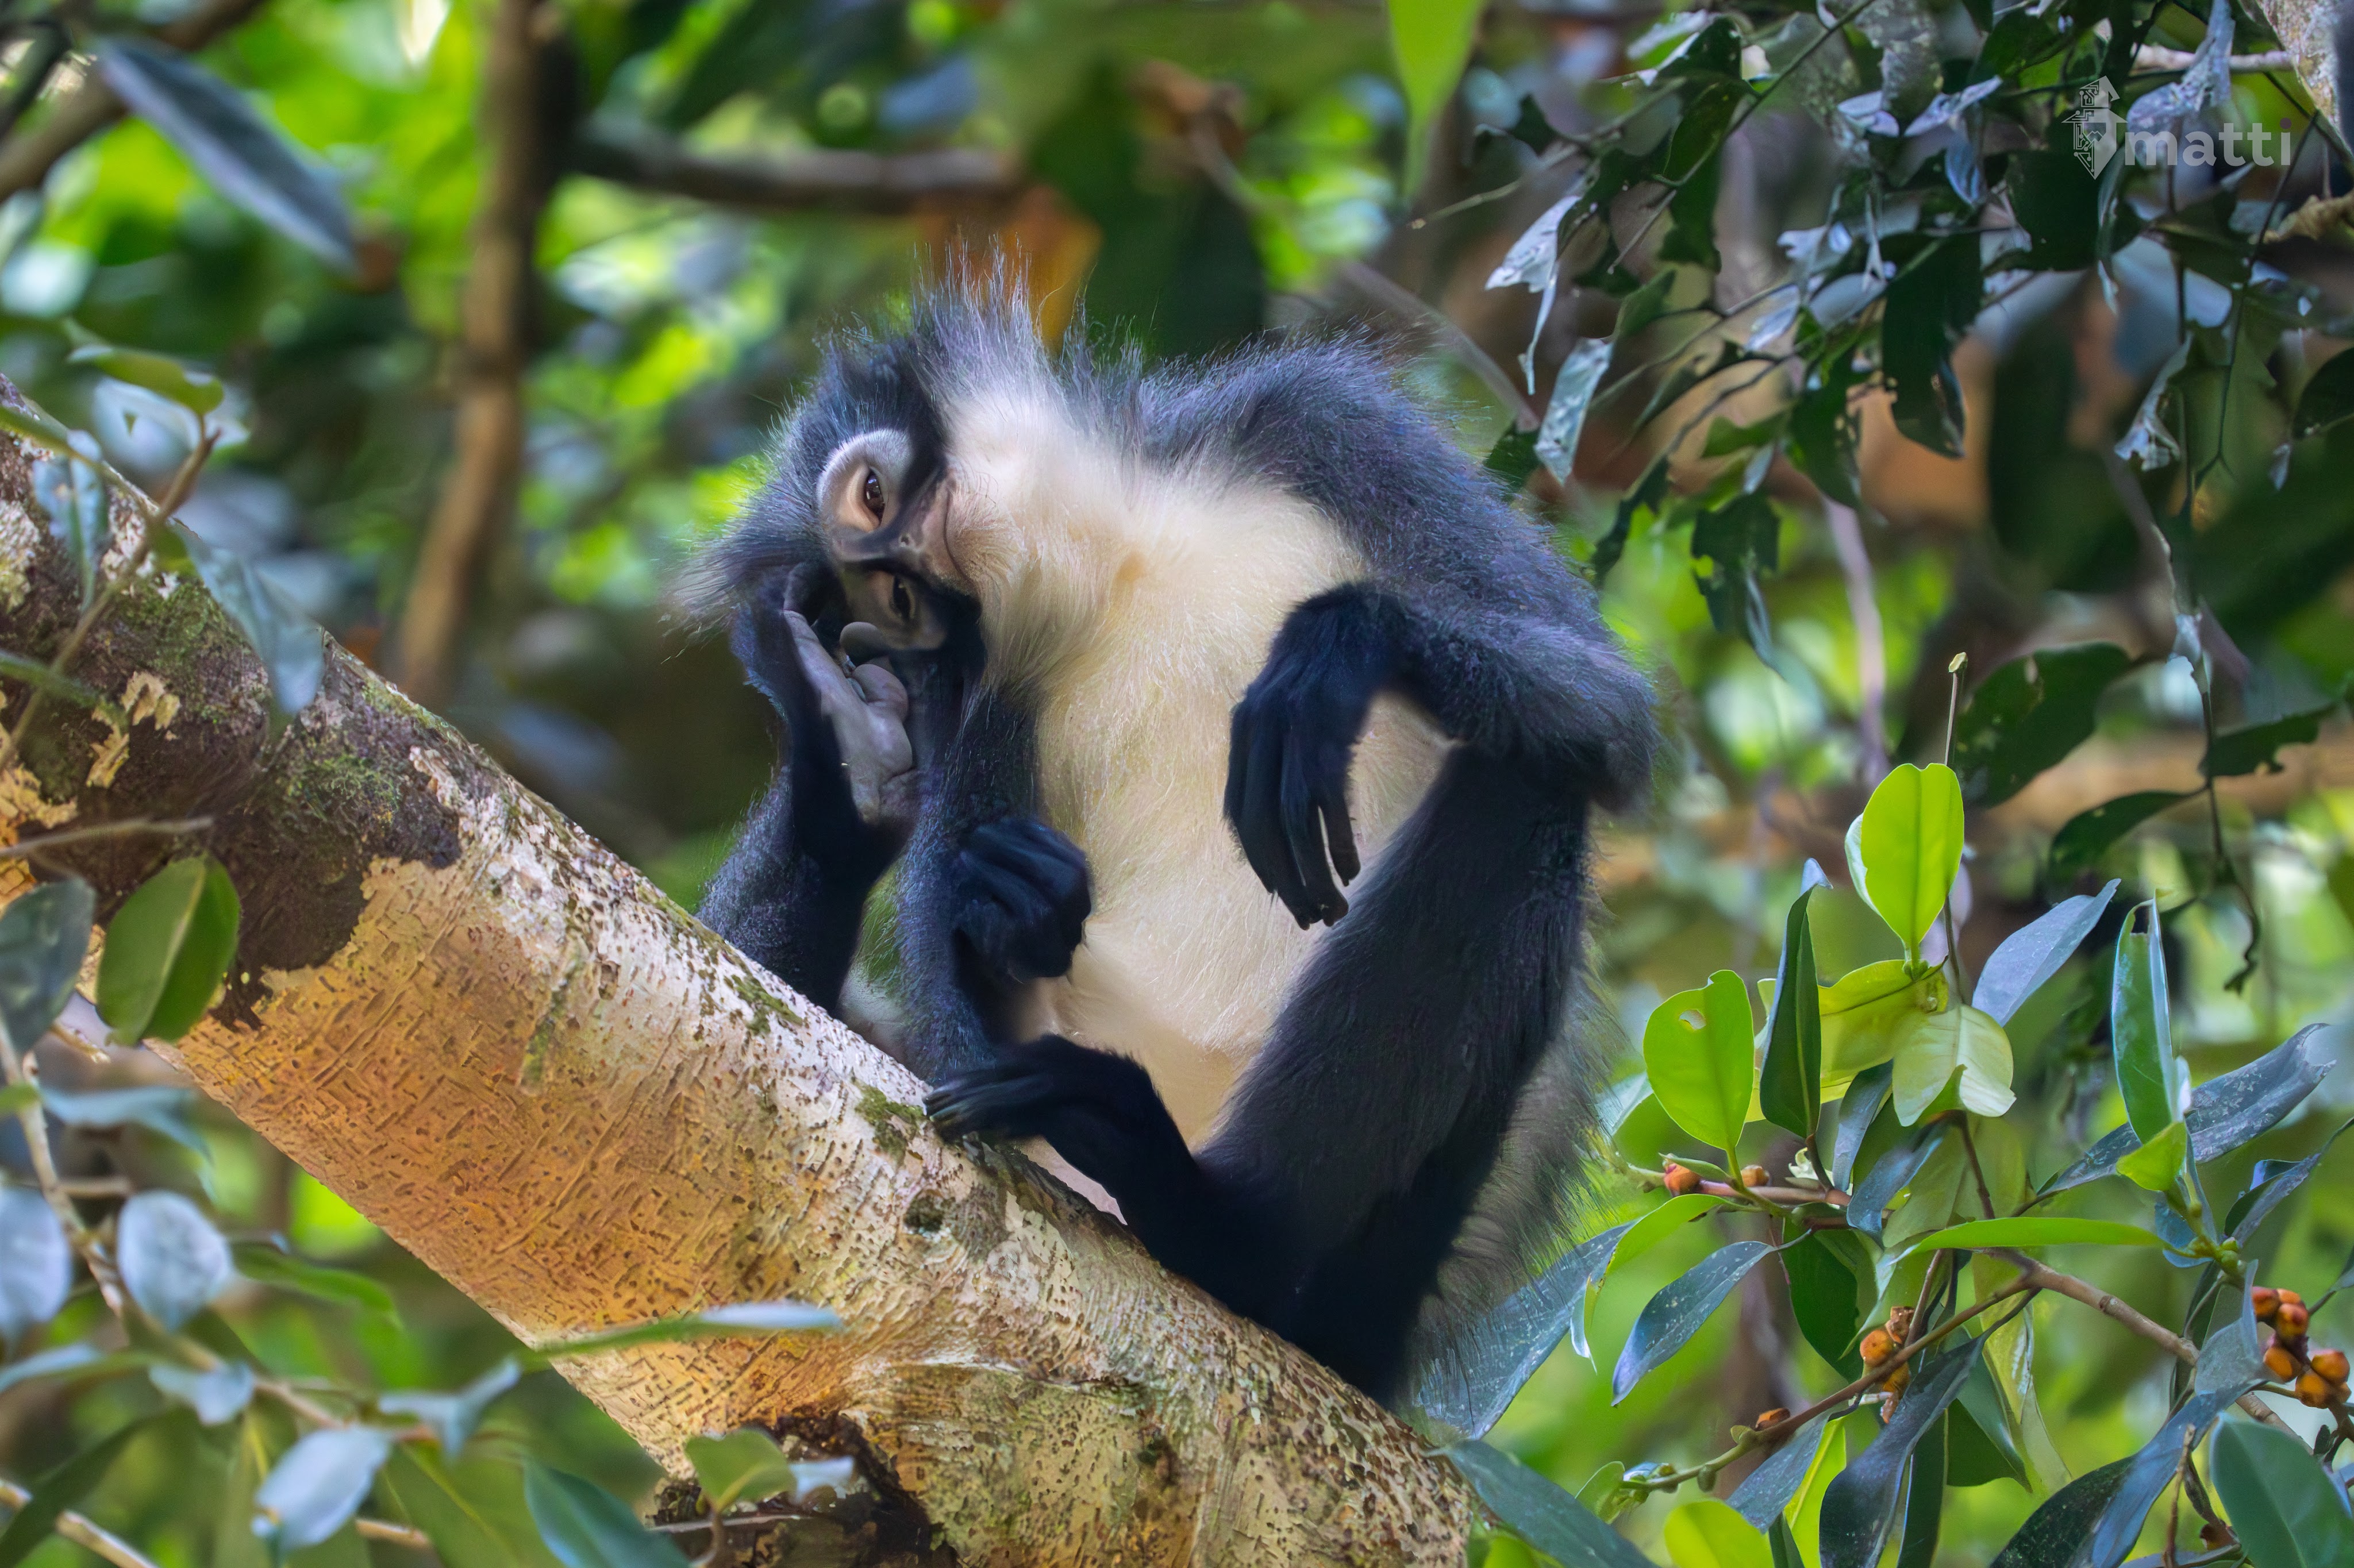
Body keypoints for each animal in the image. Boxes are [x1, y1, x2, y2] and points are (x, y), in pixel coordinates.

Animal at [696, 288, 1657, 1403]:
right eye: (888, 599)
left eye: (870, 492)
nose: (913, 578)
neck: (1123, 568)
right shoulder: (970, 691)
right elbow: (943, 1002)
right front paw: (999, 900)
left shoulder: (1318, 420)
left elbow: (1611, 708)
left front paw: (1338, 651)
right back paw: (847, 768)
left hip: (1375, 1288)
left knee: (1527, 787)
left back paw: (1218, 1224)